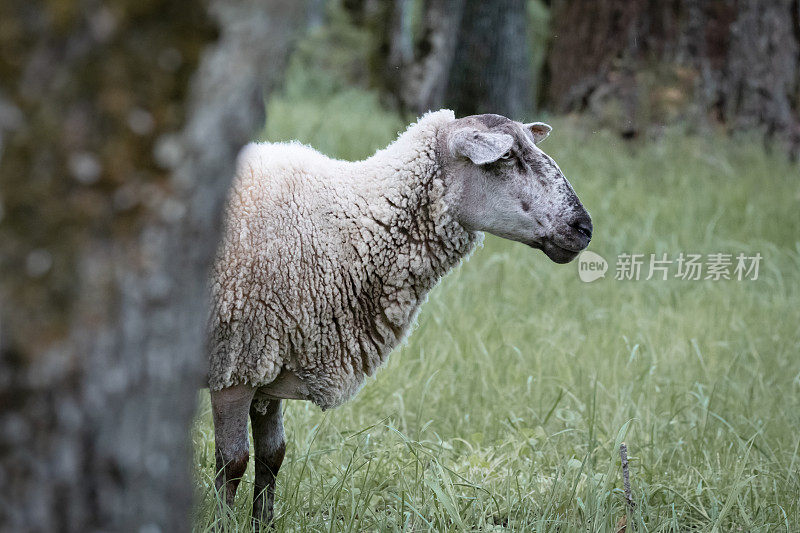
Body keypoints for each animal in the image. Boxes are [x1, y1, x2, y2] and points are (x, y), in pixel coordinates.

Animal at [206, 109, 592, 524]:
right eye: (506, 157)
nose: (584, 228)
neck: (347, 228)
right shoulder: (236, 366)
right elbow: (233, 462)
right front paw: (222, 524)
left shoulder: (268, 363)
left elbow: (272, 456)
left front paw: (262, 522)